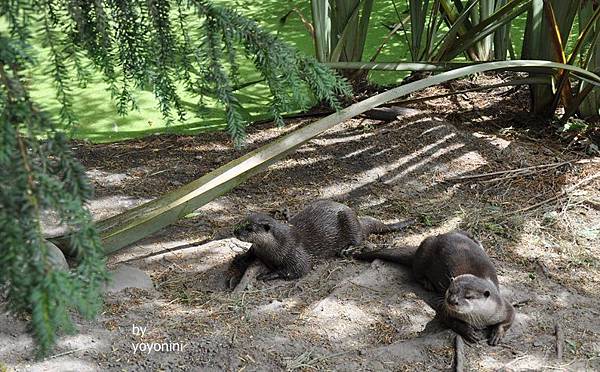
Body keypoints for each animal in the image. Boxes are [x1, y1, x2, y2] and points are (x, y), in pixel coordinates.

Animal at [227, 201, 414, 284]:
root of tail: (359, 220)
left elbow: (297, 270)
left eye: (249, 228)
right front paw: (240, 258)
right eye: (241, 222)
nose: (235, 231)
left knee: (358, 239)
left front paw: (267, 274)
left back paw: (346, 249)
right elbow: (251, 251)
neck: (275, 247)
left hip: (349, 222)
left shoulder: (296, 253)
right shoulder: (258, 249)